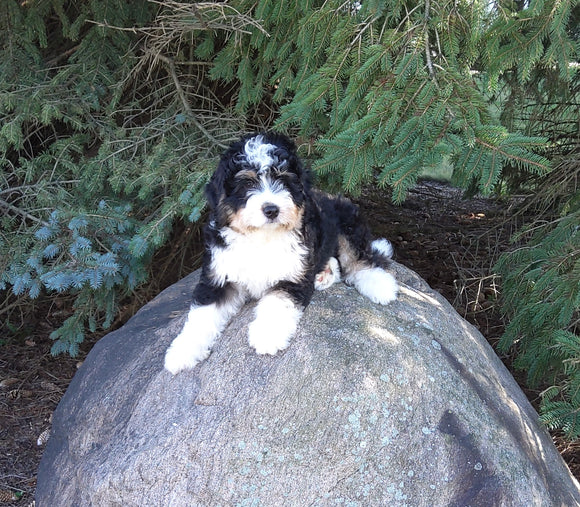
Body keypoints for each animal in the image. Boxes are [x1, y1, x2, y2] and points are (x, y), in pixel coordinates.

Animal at [165, 133, 396, 376]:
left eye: (284, 180)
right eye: (247, 183)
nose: (271, 209)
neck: (261, 237)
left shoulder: (292, 276)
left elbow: (276, 302)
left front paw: (267, 336)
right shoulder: (218, 277)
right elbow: (201, 316)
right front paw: (181, 352)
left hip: (347, 223)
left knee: (359, 260)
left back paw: (380, 285)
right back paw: (324, 274)